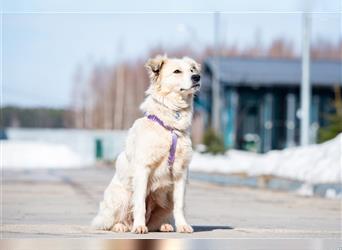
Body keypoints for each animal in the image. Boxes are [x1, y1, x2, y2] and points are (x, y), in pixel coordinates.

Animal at [92, 55, 202, 234]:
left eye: (192, 70)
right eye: (177, 71)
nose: (197, 77)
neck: (169, 128)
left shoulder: (181, 173)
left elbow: (179, 205)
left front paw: (182, 226)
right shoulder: (143, 169)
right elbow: (140, 205)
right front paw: (139, 226)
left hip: (165, 198)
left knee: (157, 220)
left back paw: (164, 225)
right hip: (120, 196)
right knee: (113, 221)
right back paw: (122, 226)